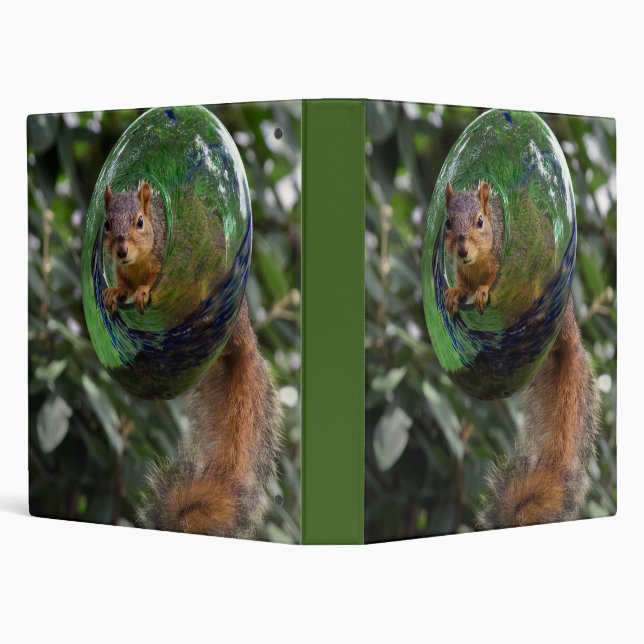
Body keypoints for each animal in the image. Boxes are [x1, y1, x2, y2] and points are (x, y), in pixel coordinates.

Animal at [103, 182, 282, 538]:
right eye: (106, 225)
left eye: (140, 222)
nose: (121, 251)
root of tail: (243, 335)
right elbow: (122, 285)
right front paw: (115, 292)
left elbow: (152, 281)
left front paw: (142, 291)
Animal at [443, 181, 600, 528]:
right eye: (446, 223)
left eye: (479, 222)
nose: (461, 251)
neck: (475, 263)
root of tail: (568, 331)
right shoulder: (463, 271)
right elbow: (462, 285)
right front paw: (455, 293)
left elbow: (490, 282)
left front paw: (482, 291)